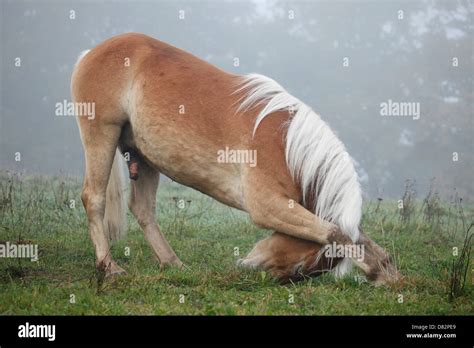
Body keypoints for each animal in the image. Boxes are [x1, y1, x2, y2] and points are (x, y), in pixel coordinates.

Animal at [72, 32, 400, 286]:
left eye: (299, 270)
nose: (246, 267)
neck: (286, 144)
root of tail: (92, 53)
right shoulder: (269, 207)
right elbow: (336, 232)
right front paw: (375, 270)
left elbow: (352, 234)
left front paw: (386, 271)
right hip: (101, 134)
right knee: (94, 199)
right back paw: (110, 267)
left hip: (144, 156)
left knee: (143, 209)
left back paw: (174, 264)